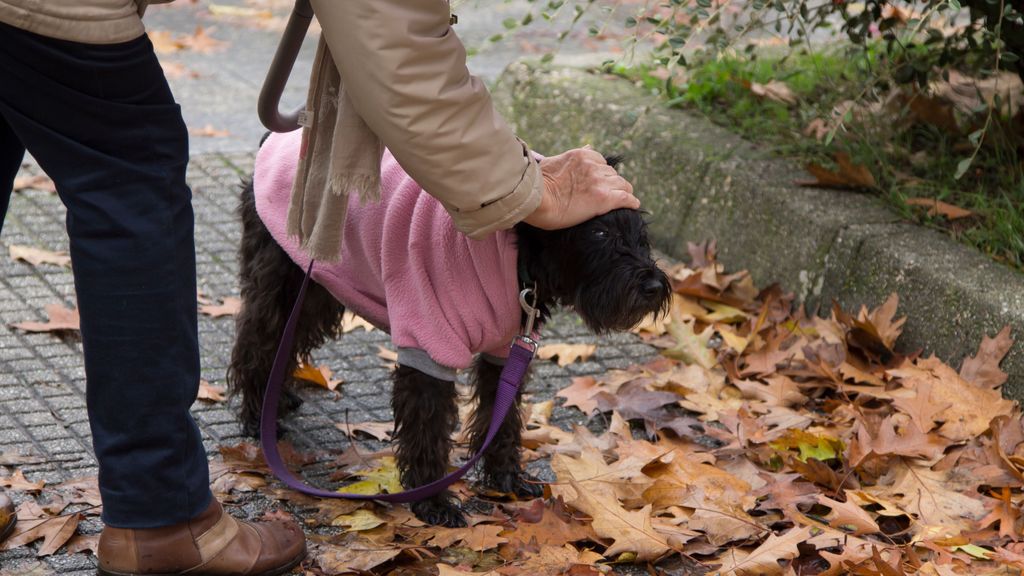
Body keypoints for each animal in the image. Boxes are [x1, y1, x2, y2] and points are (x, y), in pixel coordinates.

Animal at [226, 152, 671, 524]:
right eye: (600, 234)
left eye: (642, 234)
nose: (653, 286)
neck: (515, 258)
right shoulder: (429, 346)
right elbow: (427, 429)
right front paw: (432, 501)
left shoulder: (504, 351)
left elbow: (501, 417)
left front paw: (505, 478)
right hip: (286, 282)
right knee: (256, 342)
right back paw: (258, 414)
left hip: (321, 287)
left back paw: (278, 398)